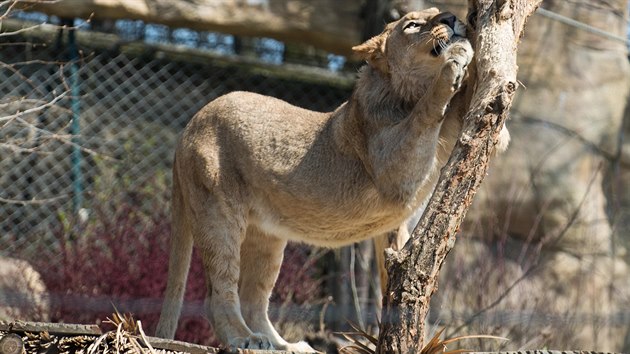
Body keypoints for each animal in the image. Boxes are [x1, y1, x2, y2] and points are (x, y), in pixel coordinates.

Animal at [157, 8, 508, 352]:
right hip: (219, 212)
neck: (406, 92)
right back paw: (244, 339)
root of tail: (188, 125)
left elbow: (474, 104)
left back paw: (284, 345)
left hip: (266, 236)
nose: (450, 18)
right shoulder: (394, 170)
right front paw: (457, 56)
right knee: (217, 293)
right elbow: (425, 112)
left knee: (253, 298)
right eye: (411, 25)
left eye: (439, 11)